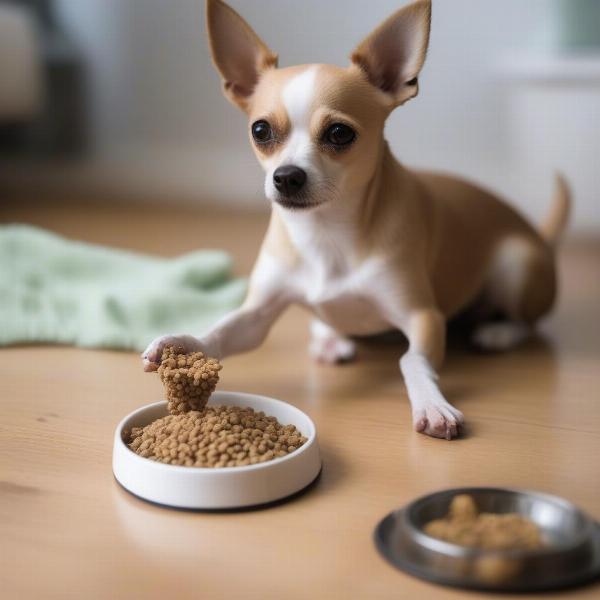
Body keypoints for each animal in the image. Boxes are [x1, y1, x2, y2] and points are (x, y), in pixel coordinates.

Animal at [143, 1, 568, 440]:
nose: (286, 176)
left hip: (518, 261)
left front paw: (432, 405)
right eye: (260, 130)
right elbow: (222, 330)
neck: (325, 233)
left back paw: (498, 331)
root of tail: (539, 237)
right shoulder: (257, 316)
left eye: (339, 134)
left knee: (529, 321)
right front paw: (183, 343)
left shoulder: (423, 317)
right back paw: (329, 337)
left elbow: (411, 361)